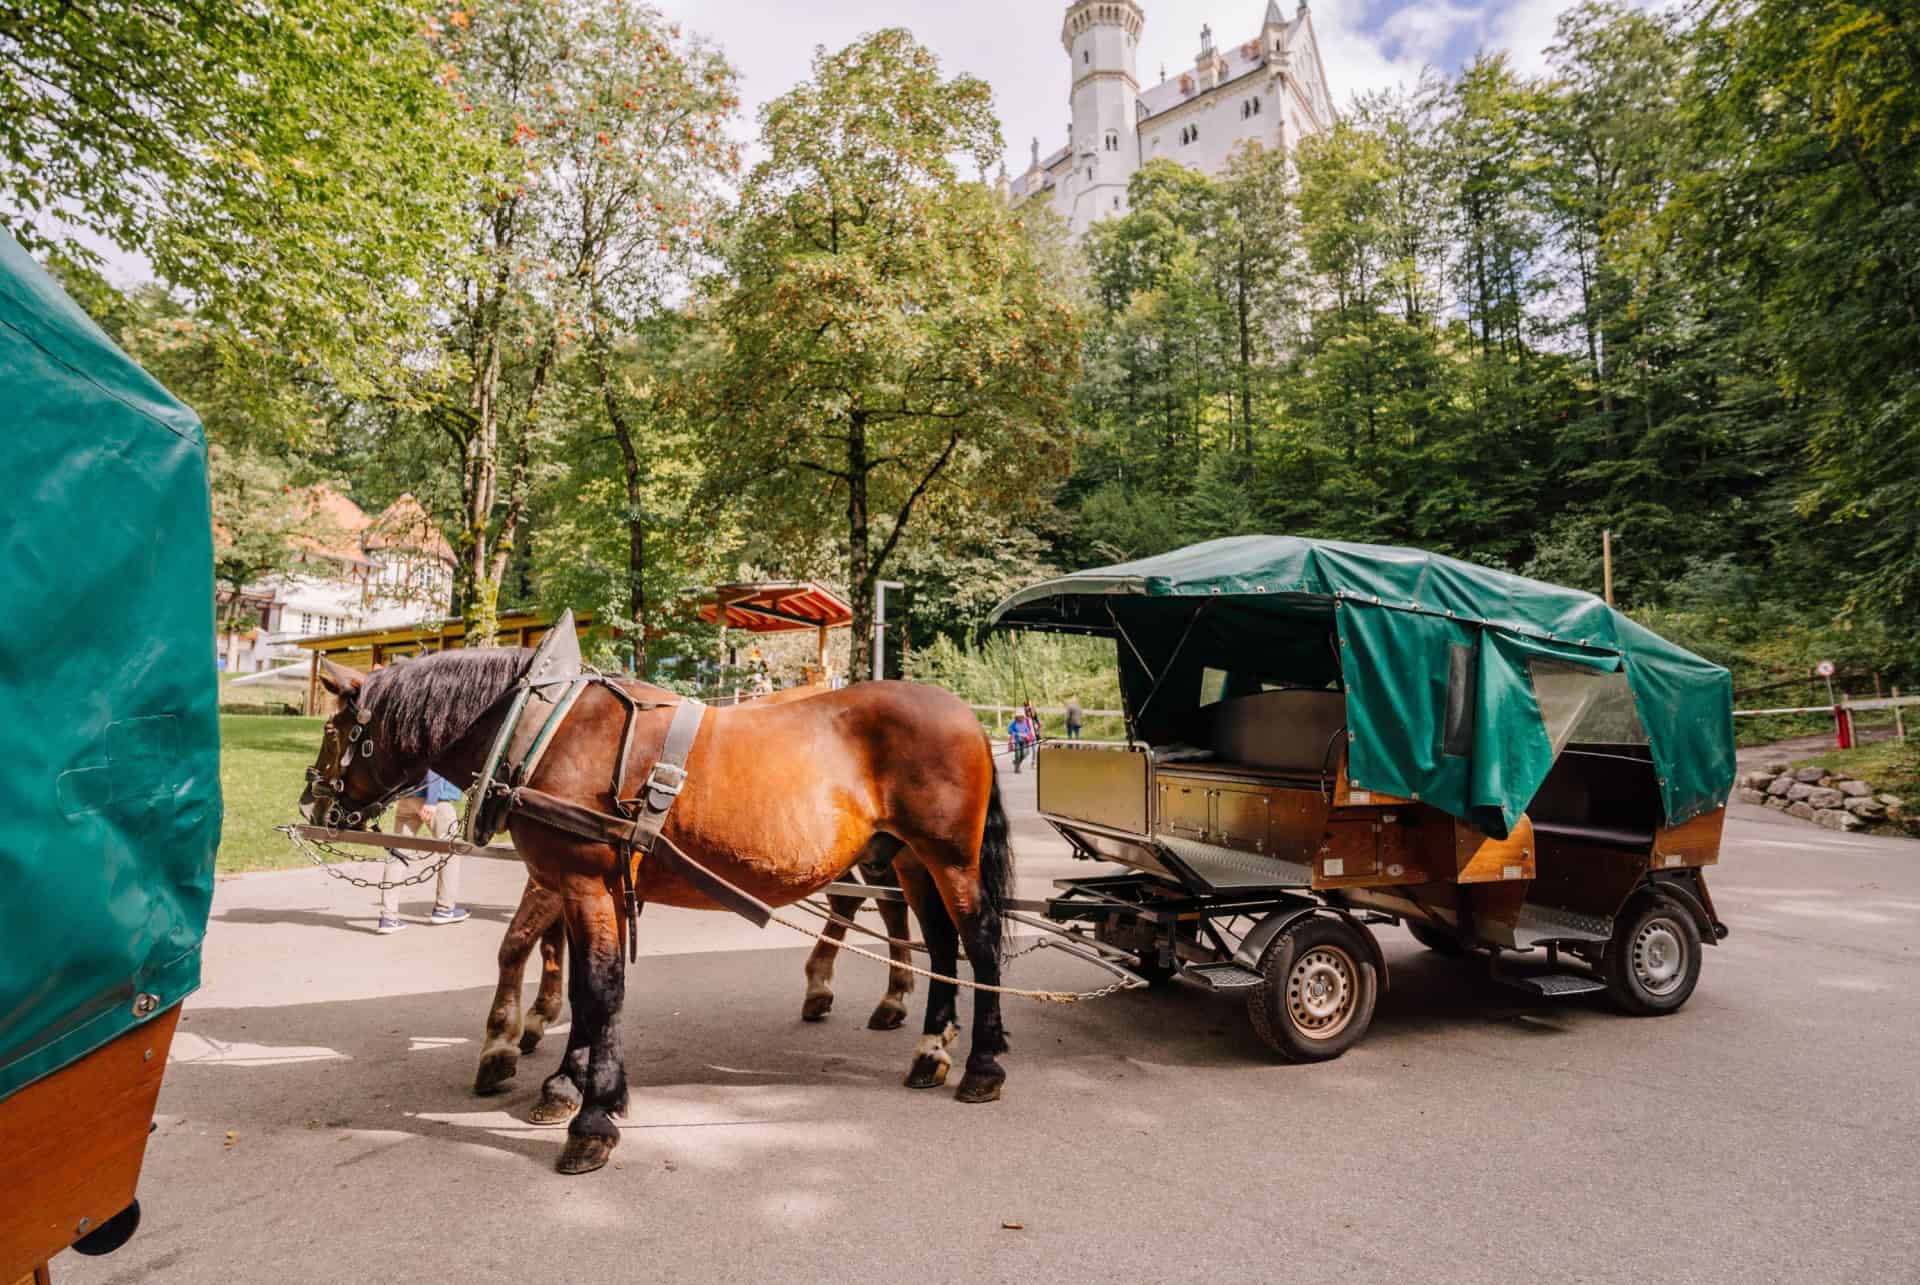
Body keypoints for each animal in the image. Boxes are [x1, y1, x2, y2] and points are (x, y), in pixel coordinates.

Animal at [299, 653, 1013, 1175]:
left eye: (335, 731)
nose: (312, 802)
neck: (546, 728)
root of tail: (967, 714)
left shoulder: (582, 880)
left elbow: (594, 987)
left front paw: (588, 1116)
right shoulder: (588, 885)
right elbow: (584, 986)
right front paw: (569, 1081)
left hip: (948, 856)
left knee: (977, 942)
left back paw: (980, 1063)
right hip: (907, 858)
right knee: (938, 943)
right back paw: (929, 1047)